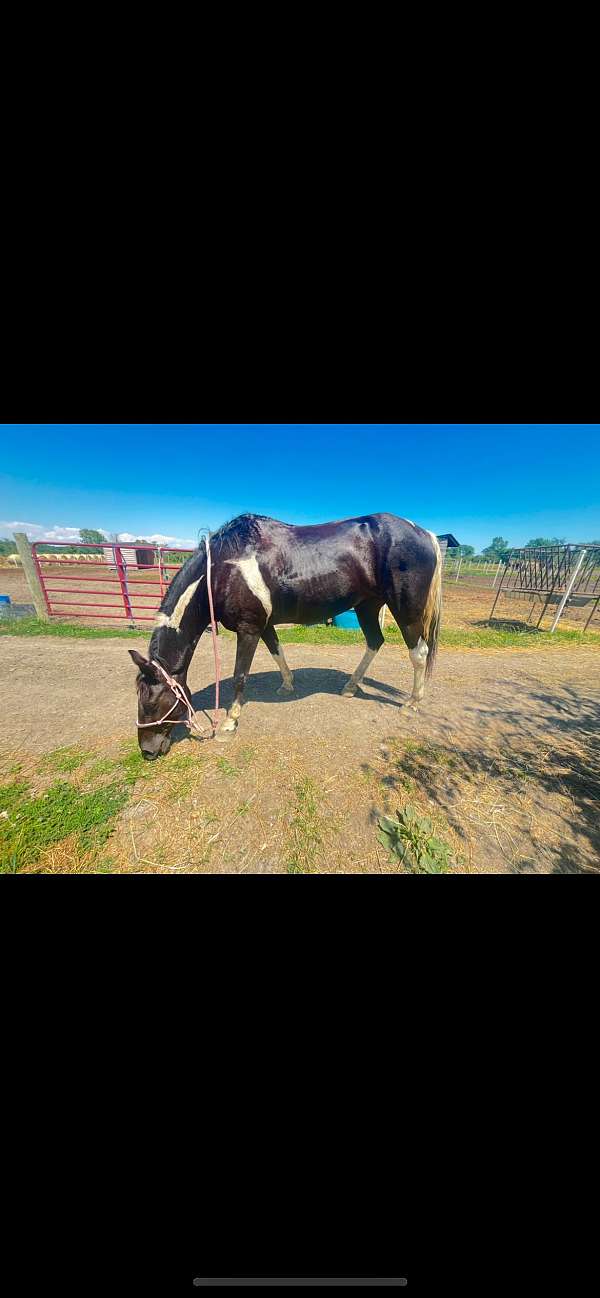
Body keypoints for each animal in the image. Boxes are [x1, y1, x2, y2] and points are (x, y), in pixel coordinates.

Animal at [129, 511, 441, 758]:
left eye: (152, 702)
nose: (147, 751)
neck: (220, 571)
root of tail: (425, 533)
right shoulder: (263, 625)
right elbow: (277, 651)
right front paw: (288, 684)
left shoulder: (248, 628)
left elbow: (240, 675)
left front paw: (229, 723)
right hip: (367, 605)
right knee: (375, 642)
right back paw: (351, 687)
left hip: (406, 609)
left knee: (419, 653)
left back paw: (411, 703)